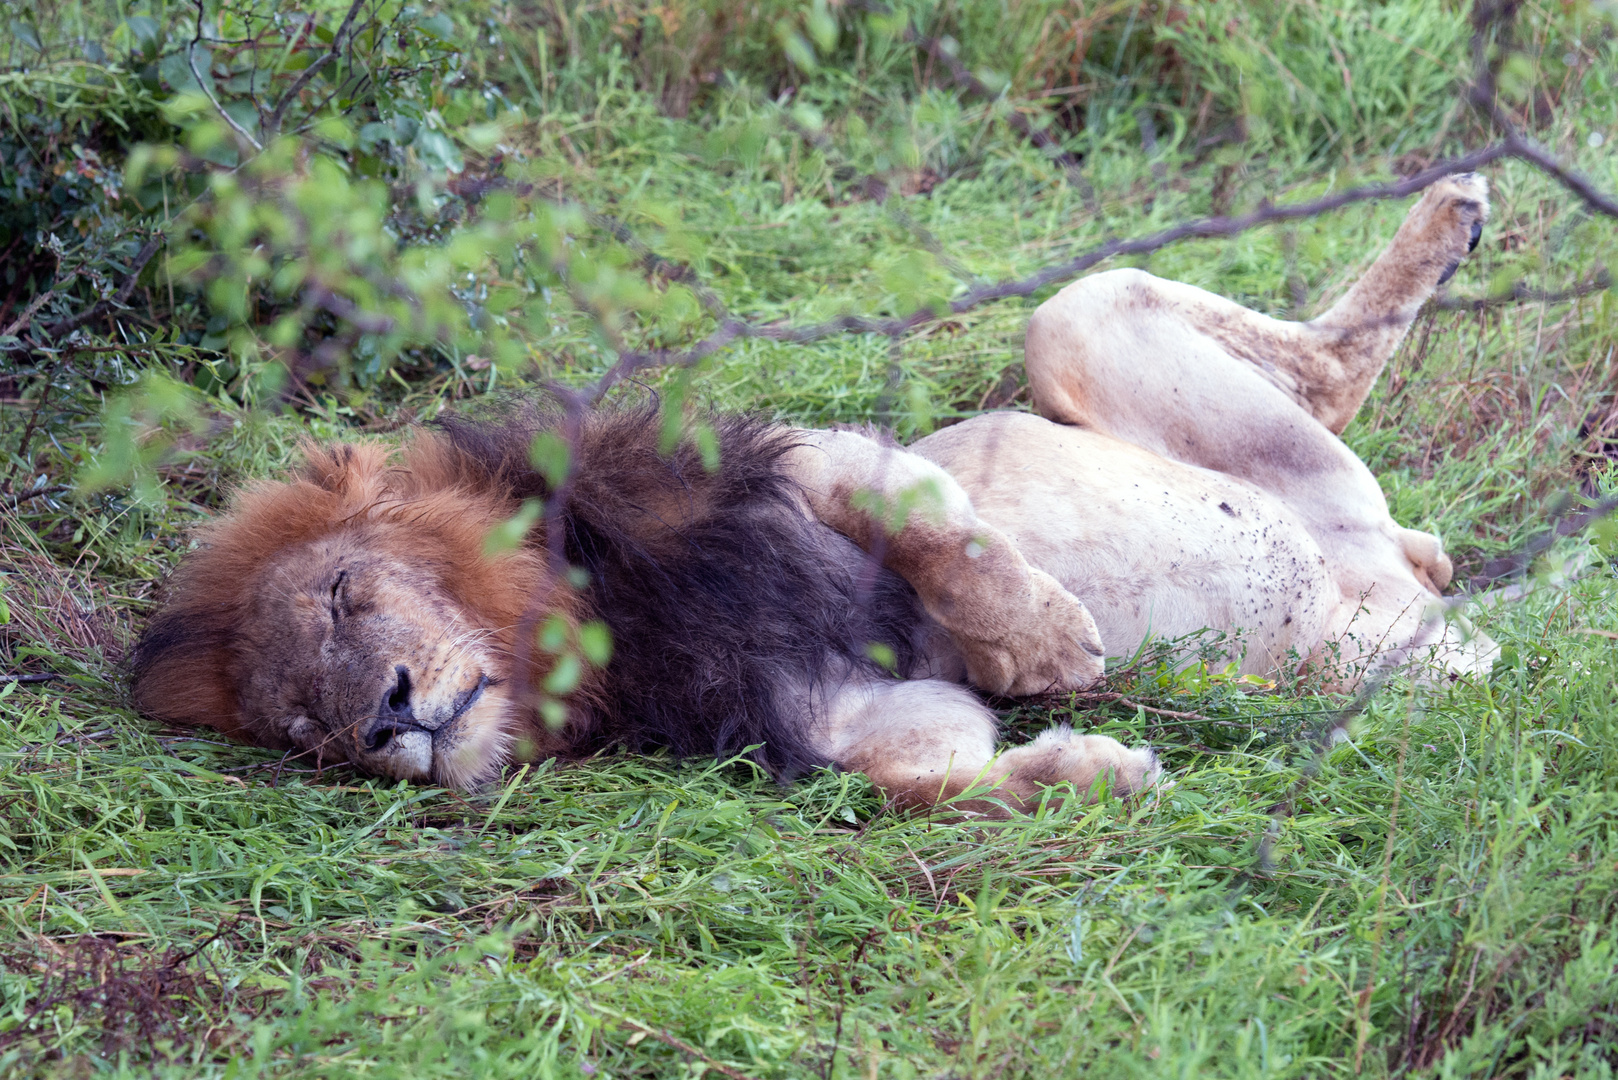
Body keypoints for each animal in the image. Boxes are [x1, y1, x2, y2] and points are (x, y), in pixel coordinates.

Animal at [132, 170, 1495, 809]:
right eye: (305, 731)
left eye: (346, 595)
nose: (387, 720)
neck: (588, 626)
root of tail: (1392, 597)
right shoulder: (829, 716)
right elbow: (928, 779)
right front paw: (1090, 770)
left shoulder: (782, 456)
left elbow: (926, 523)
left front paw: (1042, 642)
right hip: (1383, 674)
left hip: (1076, 324)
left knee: (1319, 370)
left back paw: (1453, 212)